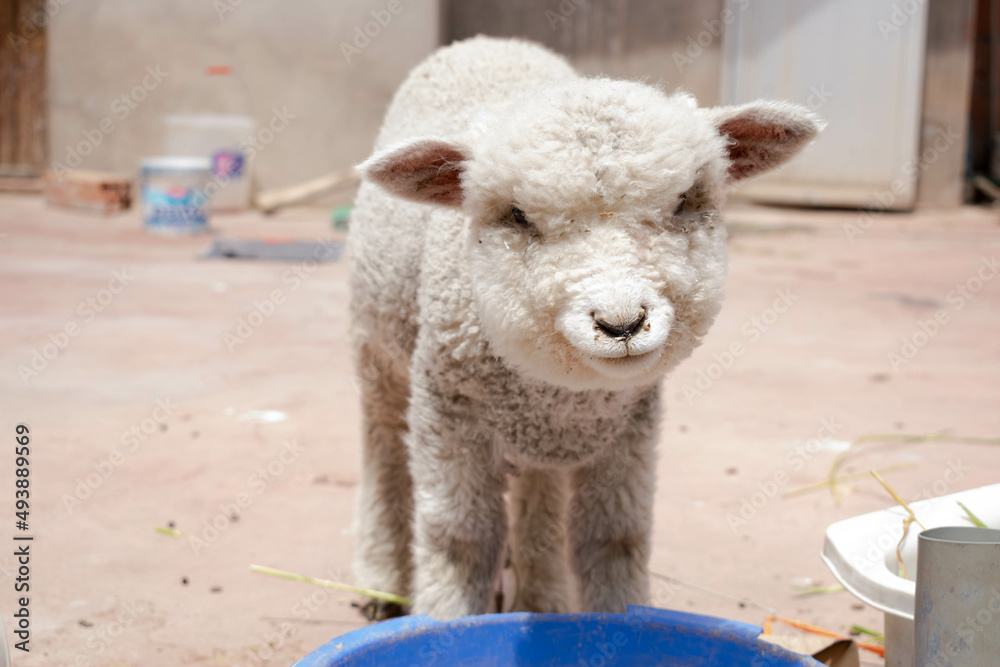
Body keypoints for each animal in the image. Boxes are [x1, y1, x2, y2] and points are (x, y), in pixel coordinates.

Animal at [349, 35, 822, 621]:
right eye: (517, 216)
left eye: (685, 201)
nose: (622, 324)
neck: (563, 393)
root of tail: (488, 41)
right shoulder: (447, 410)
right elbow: (461, 539)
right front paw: (445, 622)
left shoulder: (630, 428)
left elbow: (614, 538)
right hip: (377, 352)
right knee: (382, 446)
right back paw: (379, 583)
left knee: (541, 497)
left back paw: (543, 599)